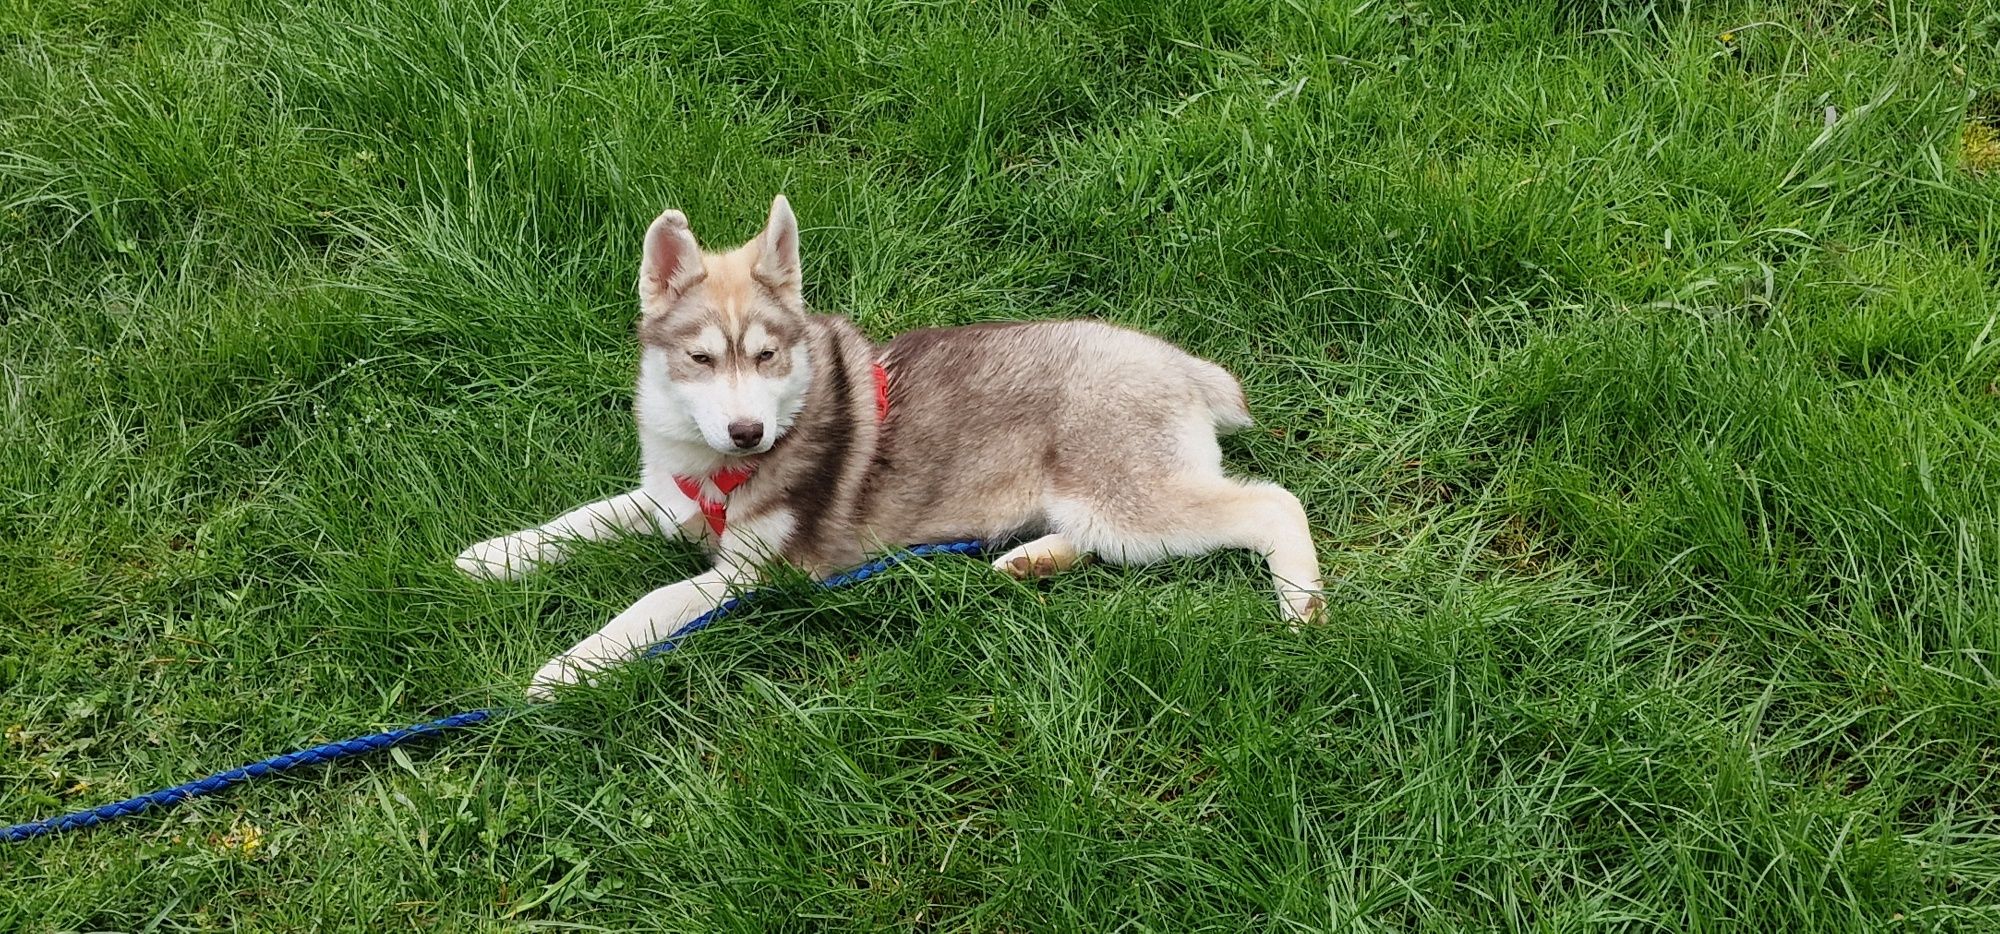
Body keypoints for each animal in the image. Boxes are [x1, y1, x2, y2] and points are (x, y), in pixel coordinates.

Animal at [458, 196, 1320, 696]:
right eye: (701, 359)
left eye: (767, 355)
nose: (748, 431)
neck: (725, 466)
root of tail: (1182, 364)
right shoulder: (669, 499)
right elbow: (586, 518)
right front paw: (497, 556)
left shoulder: (751, 574)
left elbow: (652, 601)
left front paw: (571, 666)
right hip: (1101, 509)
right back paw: (1030, 560)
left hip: (1130, 500)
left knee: (1274, 504)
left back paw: (1302, 604)